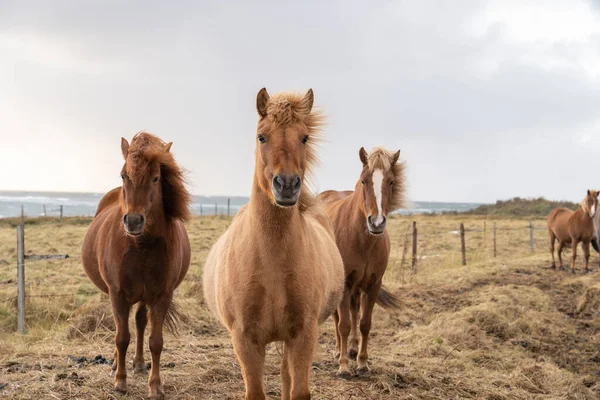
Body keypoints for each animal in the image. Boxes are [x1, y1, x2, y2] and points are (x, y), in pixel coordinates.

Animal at [81, 133, 190, 398]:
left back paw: (139, 363)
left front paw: (155, 386)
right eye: (124, 175)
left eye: (156, 178)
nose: (133, 221)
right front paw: (120, 382)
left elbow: (155, 341)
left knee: (140, 323)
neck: (142, 245)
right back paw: (114, 364)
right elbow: (121, 338)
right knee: (122, 329)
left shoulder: (162, 296)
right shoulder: (118, 294)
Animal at [203, 88, 344, 400]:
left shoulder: (303, 335)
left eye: (304, 137)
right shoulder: (246, 339)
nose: (287, 185)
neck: (270, 261)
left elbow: (298, 390)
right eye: (261, 136)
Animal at [316, 146, 406, 378]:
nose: (376, 222)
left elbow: (365, 323)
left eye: (391, 181)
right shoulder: (346, 283)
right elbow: (344, 324)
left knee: (355, 311)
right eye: (364, 181)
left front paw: (363, 363)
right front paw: (343, 366)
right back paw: (339, 350)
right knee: (338, 318)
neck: (363, 239)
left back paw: (353, 348)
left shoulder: (373, 285)